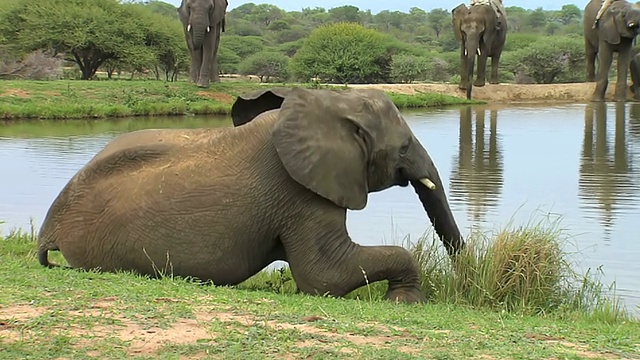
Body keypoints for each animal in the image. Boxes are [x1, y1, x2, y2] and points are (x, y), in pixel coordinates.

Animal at [36, 87, 464, 304]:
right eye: (404, 148)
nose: (468, 275)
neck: (326, 105)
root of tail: (48, 230)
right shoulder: (298, 190)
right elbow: (325, 276)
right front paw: (407, 300)